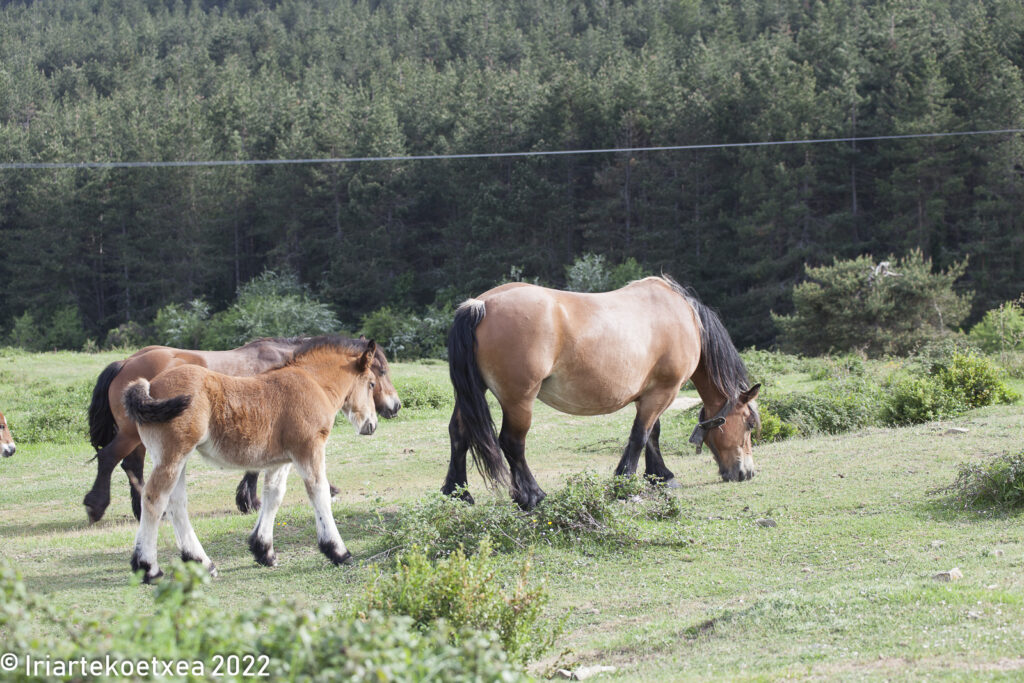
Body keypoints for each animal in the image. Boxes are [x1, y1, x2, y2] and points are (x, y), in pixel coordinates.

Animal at [83, 335, 399, 524]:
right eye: (380, 373)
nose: (394, 406)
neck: (295, 368)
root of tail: (126, 362)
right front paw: (252, 500)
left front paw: (247, 499)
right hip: (131, 434)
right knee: (110, 459)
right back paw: (97, 506)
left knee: (132, 466)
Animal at [122, 335, 380, 581]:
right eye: (372, 384)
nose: (371, 425)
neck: (313, 383)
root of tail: (150, 386)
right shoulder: (309, 448)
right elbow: (320, 493)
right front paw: (338, 551)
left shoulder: (283, 459)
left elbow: (273, 496)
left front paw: (263, 551)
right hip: (172, 456)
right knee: (154, 499)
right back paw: (149, 568)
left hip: (177, 459)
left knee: (176, 503)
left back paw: (203, 563)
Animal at [442, 274, 761, 509]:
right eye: (748, 423)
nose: (746, 473)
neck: (685, 318)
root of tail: (480, 305)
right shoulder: (663, 392)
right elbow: (639, 436)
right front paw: (626, 482)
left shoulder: (653, 393)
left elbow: (652, 435)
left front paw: (660, 476)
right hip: (519, 400)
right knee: (512, 443)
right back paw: (532, 495)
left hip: (470, 395)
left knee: (459, 435)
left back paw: (457, 494)